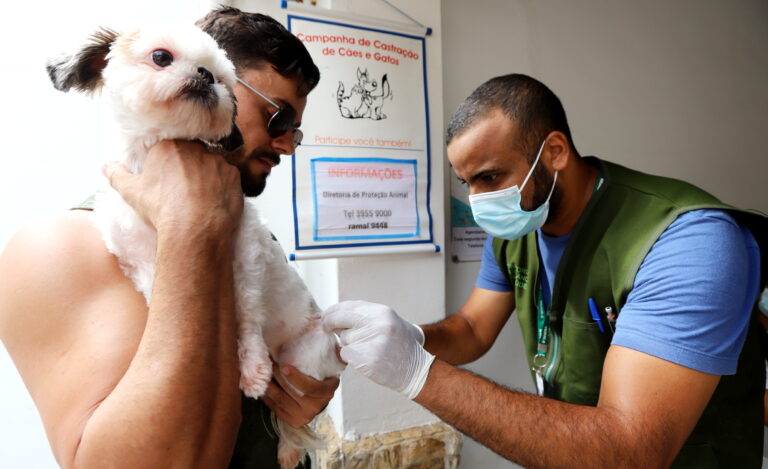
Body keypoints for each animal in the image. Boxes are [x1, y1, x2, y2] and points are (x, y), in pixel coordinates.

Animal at [48, 22, 344, 468]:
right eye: (161, 57)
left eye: (223, 80)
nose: (205, 77)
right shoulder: (135, 258)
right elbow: (153, 289)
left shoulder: (245, 252)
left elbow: (245, 315)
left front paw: (251, 367)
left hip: (305, 359)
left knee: (291, 412)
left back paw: (288, 444)